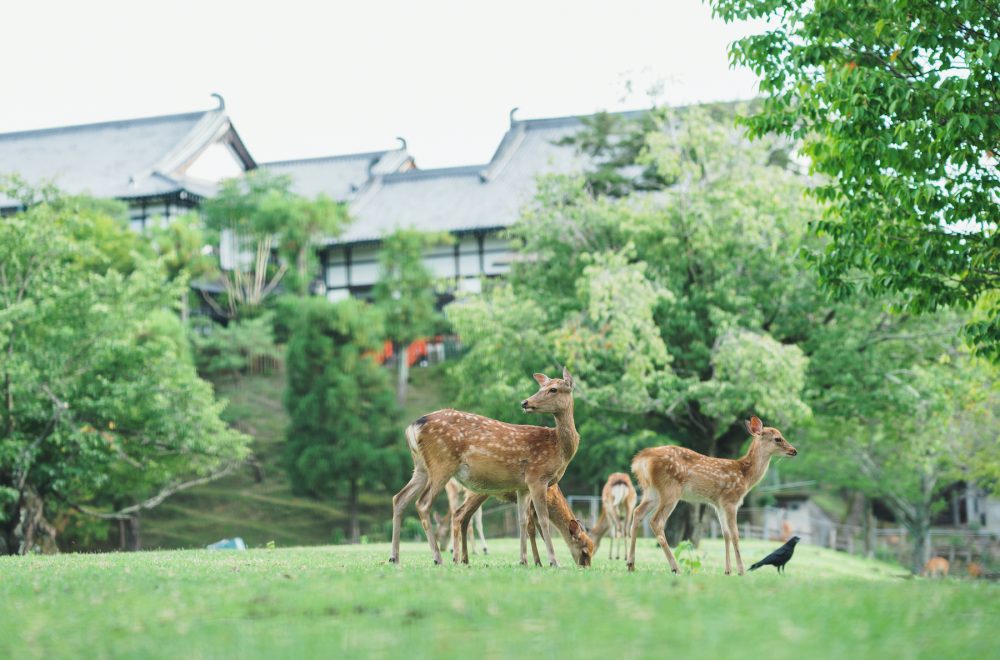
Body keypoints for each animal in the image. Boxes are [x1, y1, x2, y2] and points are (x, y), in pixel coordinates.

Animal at [388, 366, 580, 568]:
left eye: (553, 389)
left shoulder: (523, 486)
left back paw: (394, 557)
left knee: (399, 498)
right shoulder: (537, 477)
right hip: (442, 463)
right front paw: (553, 561)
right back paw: (438, 558)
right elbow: (543, 521)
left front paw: (523, 560)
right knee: (423, 503)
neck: (559, 449)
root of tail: (412, 427)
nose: (525, 402)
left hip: (421, 467)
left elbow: (522, 520)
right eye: (542, 387)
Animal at [624, 416, 796, 576]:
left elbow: (725, 534)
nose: (794, 450)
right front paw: (741, 571)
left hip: (651, 491)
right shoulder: (731, 500)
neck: (745, 476)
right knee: (656, 522)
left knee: (637, 513)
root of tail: (640, 460)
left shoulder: (718, 504)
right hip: (670, 490)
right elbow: (735, 534)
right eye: (778, 438)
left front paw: (728, 571)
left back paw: (631, 564)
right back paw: (675, 568)